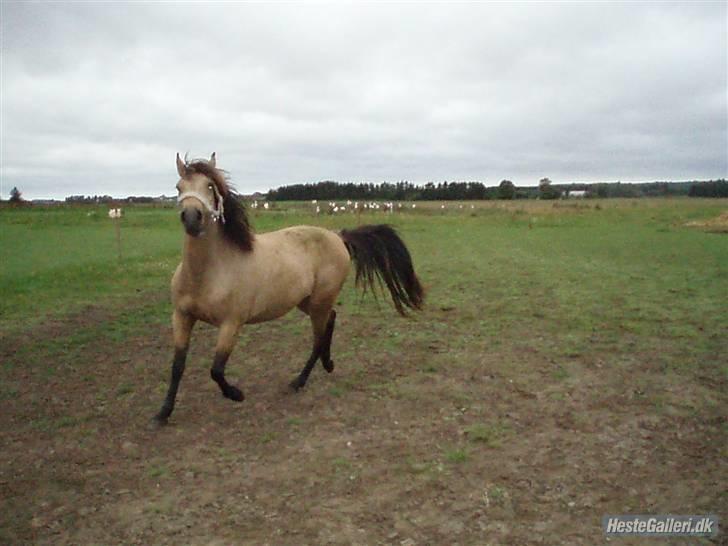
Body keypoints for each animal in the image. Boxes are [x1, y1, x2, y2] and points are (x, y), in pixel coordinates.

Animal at [156, 151, 424, 422]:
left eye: (210, 186)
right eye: (178, 187)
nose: (192, 218)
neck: (209, 274)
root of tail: (338, 236)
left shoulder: (231, 324)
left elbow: (216, 370)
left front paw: (236, 394)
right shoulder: (182, 317)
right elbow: (177, 366)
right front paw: (163, 412)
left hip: (318, 302)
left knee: (318, 338)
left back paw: (299, 381)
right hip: (308, 302)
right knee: (331, 319)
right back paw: (328, 364)